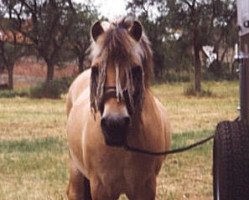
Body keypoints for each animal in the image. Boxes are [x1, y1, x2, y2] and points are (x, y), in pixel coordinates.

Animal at [66, 17, 171, 200]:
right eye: (96, 69)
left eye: (136, 70)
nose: (115, 124)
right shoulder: (101, 188)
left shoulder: (145, 188)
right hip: (76, 171)